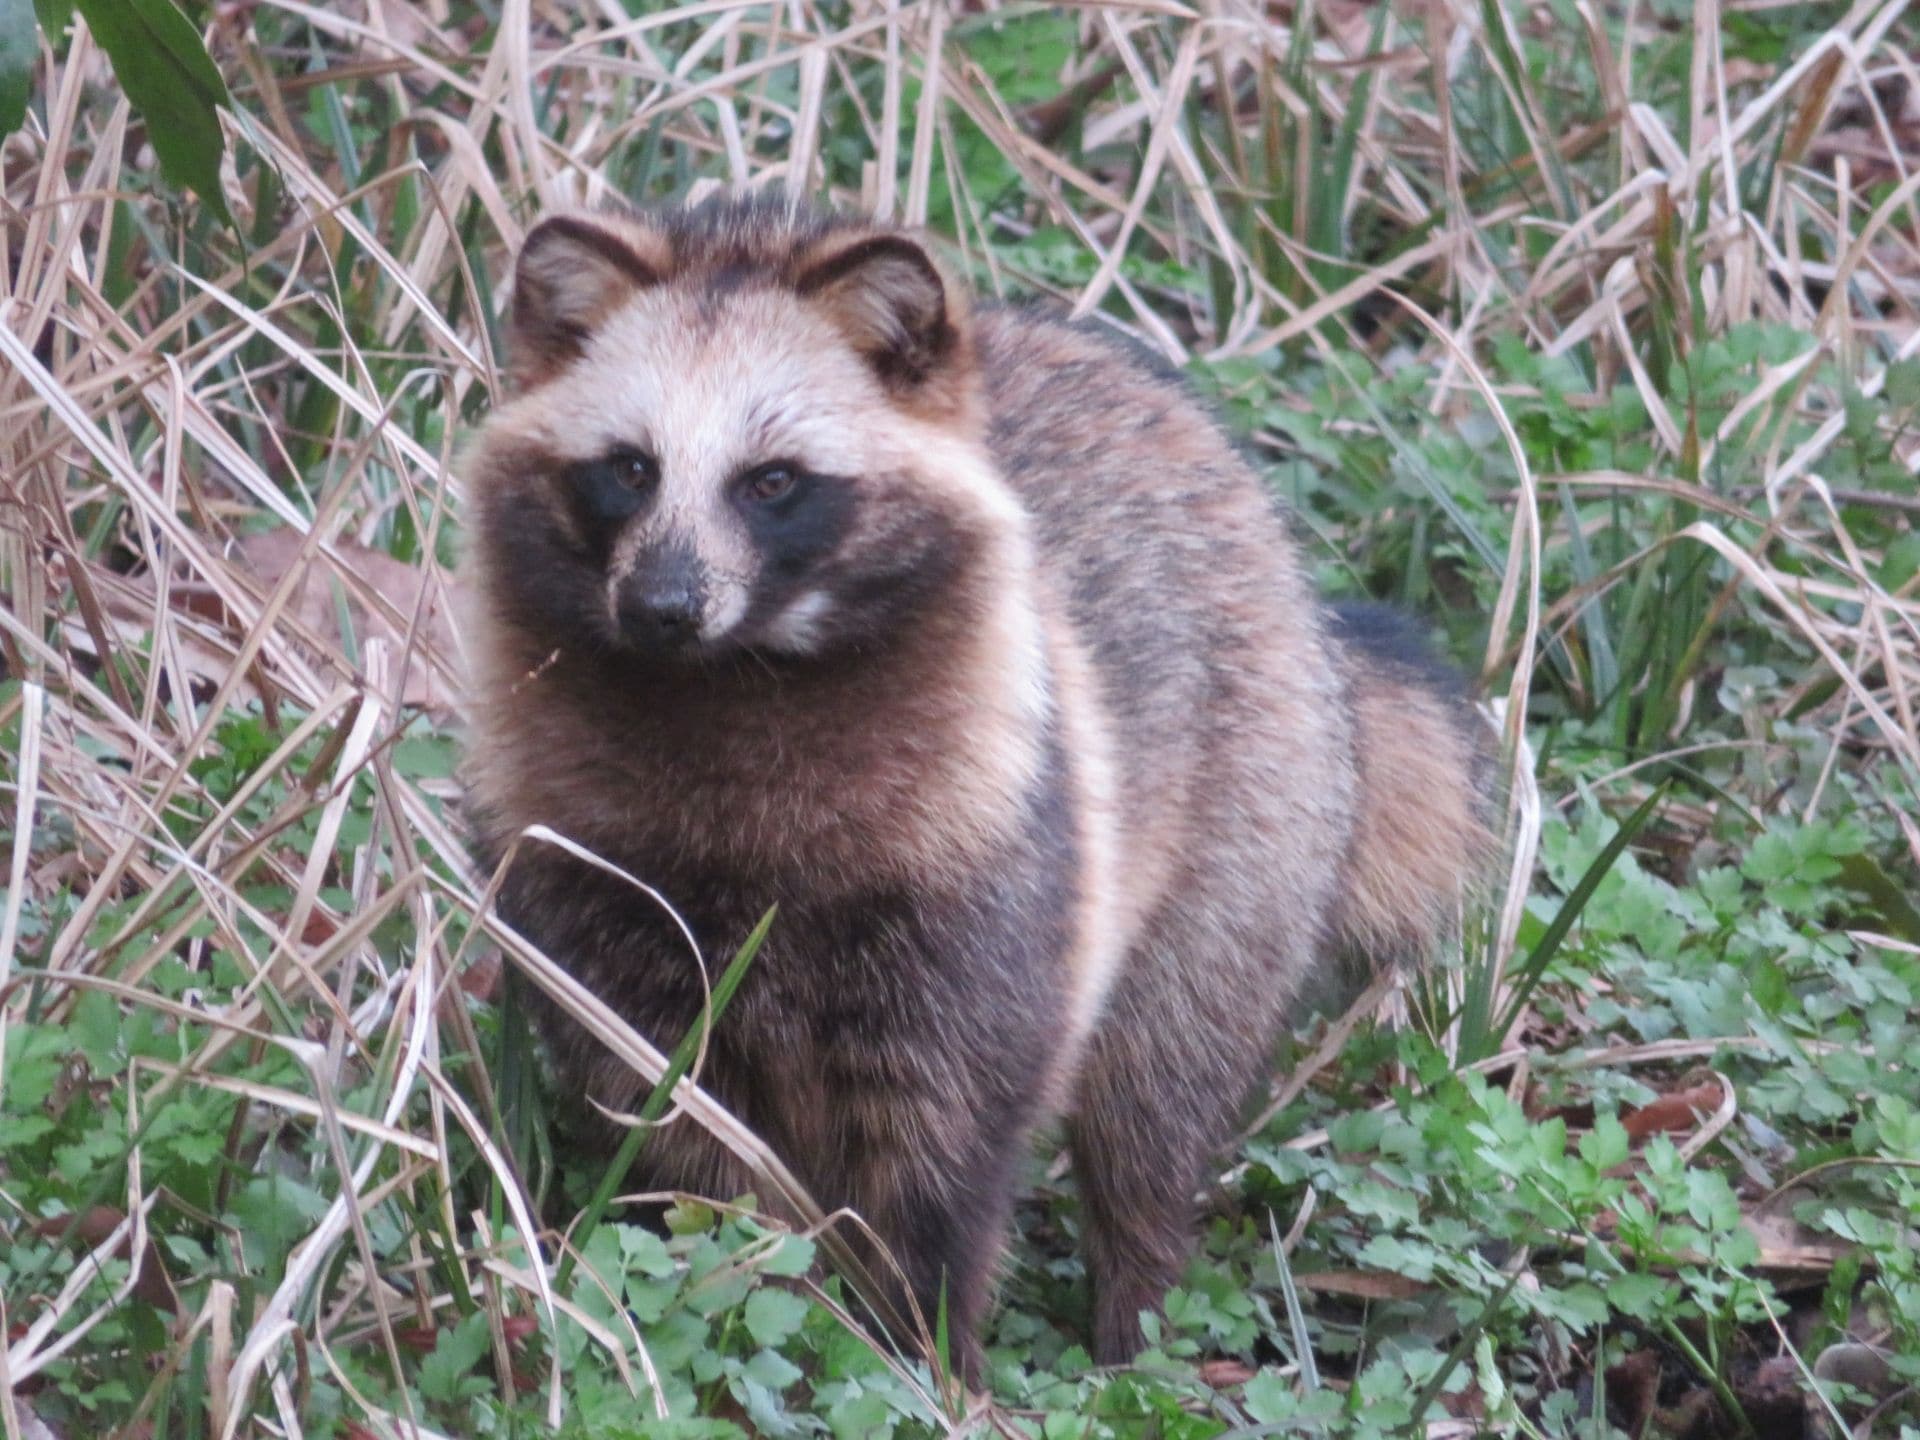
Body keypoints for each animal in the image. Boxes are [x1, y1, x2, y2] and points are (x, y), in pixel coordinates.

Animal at [456, 197, 1489, 1382]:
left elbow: (943, 1144)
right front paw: (739, 1296)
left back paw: (1139, 1306)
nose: (665, 607)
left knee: (1158, 1090)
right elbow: (675, 1125)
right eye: (629, 468)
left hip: (1250, 809)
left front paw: (930, 1354)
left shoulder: (983, 862)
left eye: (773, 481)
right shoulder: (596, 882)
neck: (730, 680)